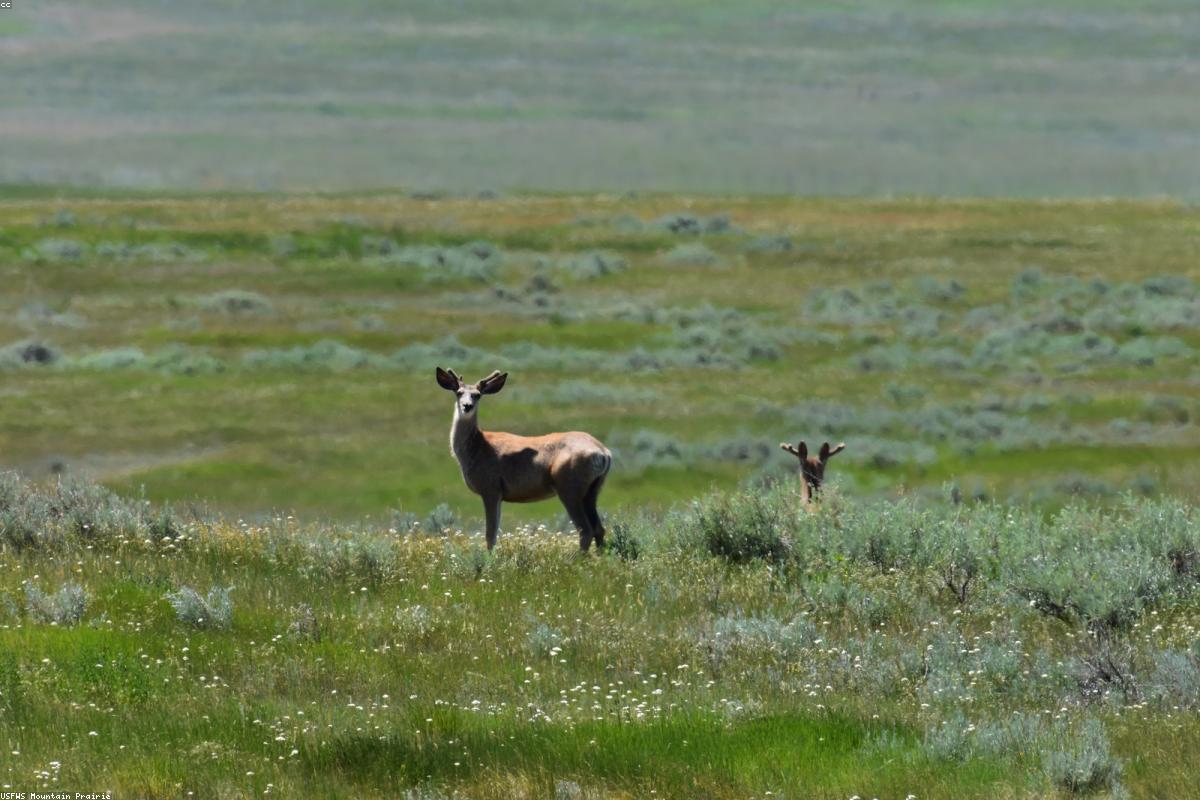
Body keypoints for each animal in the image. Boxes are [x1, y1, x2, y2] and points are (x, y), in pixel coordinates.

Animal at [435, 367, 612, 551]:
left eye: (477, 395)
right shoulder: (498, 493)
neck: (476, 448)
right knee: (599, 528)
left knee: (586, 530)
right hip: (593, 489)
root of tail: (604, 452)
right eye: (459, 392)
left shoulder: (490, 487)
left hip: (569, 485)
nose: (467, 406)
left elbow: (490, 535)